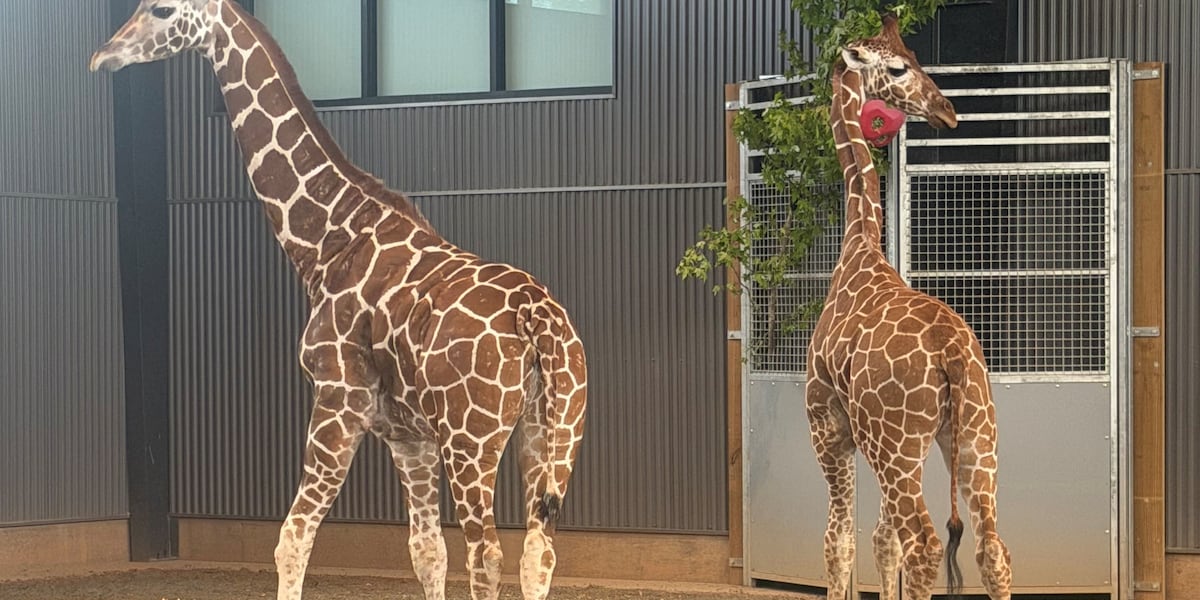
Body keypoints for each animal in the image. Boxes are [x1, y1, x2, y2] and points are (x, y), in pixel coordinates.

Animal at [89, 2, 587, 599]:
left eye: (161, 10)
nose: (103, 57)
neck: (328, 241)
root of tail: (536, 315)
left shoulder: (337, 399)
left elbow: (292, 537)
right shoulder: (407, 435)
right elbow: (427, 553)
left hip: (472, 436)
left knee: (486, 553)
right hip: (553, 431)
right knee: (538, 552)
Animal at [805, 14, 1012, 600]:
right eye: (900, 66)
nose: (947, 110)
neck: (859, 246)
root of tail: (953, 358)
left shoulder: (829, 428)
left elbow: (840, 541)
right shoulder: (865, 440)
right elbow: (879, 541)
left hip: (897, 444)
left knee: (923, 543)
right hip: (973, 437)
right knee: (991, 546)